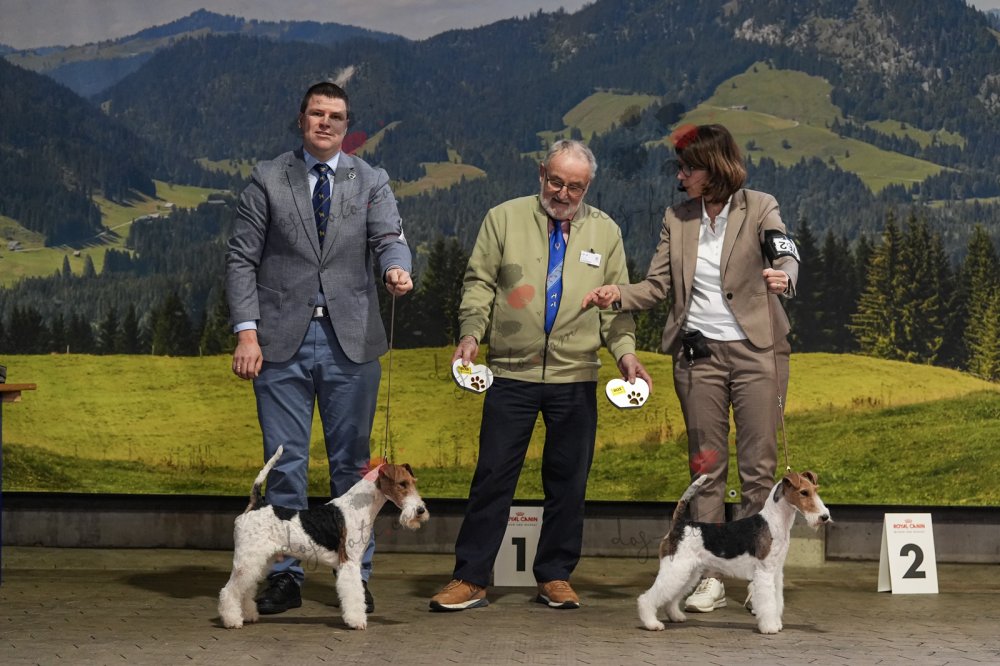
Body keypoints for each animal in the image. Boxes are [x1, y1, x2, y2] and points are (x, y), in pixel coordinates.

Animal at [218, 446, 429, 630]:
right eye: (402, 484)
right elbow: (354, 594)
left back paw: (248, 615)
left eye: (413, 482)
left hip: (260, 560)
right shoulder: (349, 563)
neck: (359, 506)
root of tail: (256, 505)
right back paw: (232, 620)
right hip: (248, 559)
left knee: (246, 589)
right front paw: (357, 621)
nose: (420, 511)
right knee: (229, 590)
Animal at [637, 471, 830, 634]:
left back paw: (675, 616)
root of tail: (679, 525)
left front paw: (776, 623)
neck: (773, 523)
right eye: (804, 492)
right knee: (647, 598)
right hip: (676, 569)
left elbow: (777, 600)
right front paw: (769, 627)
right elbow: (768, 602)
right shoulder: (765, 572)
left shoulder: (776, 572)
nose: (825, 517)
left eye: (815, 490)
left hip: (688, 572)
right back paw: (652, 623)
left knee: (671, 597)